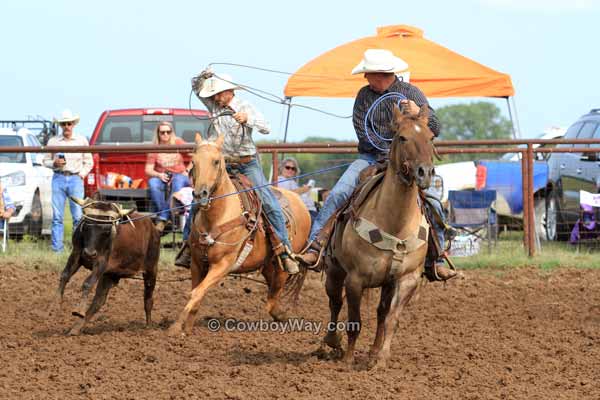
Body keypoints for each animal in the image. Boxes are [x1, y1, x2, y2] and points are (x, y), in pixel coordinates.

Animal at [168, 135, 310, 338]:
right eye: (193, 162)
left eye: (216, 161)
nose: (200, 194)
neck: (218, 216)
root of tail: (298, 199)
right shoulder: (196, 263)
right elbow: (196, 293)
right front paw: (186, 329)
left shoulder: (223, 264)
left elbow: (196, 293)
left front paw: (175, 327)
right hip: (267, 262)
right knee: (271, 293)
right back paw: (280, 315)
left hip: (282, 263)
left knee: (275, 292)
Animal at [324, 105, 436, 368]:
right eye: (402, 137)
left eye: (430, 138)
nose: (425, 173)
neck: (395, 223)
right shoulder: (355, 279)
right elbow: (354, 321)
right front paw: (348, 361)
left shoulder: (407, 279)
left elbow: (391, 319)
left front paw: (382, 359)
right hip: (334, 271)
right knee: (335, 302)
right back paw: (332, 342)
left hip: (387, 282)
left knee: (381, 313)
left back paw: (374, 353)